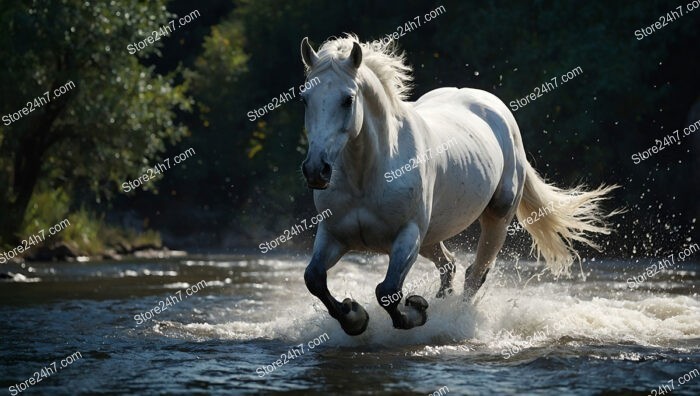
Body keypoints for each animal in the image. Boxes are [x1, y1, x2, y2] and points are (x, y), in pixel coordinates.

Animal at [298, 34, 616, 338]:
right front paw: (354, 317)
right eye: (305, 99)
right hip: (431, 235)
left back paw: (457, 318)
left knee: (475, 274)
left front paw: (416, 310)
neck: (368, 174)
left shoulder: (407, 236)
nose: (316, 170)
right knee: (449, 265)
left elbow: (388, 292)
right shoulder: (333, 235)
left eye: (348, 99)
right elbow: (314, 278)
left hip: (494, 220)